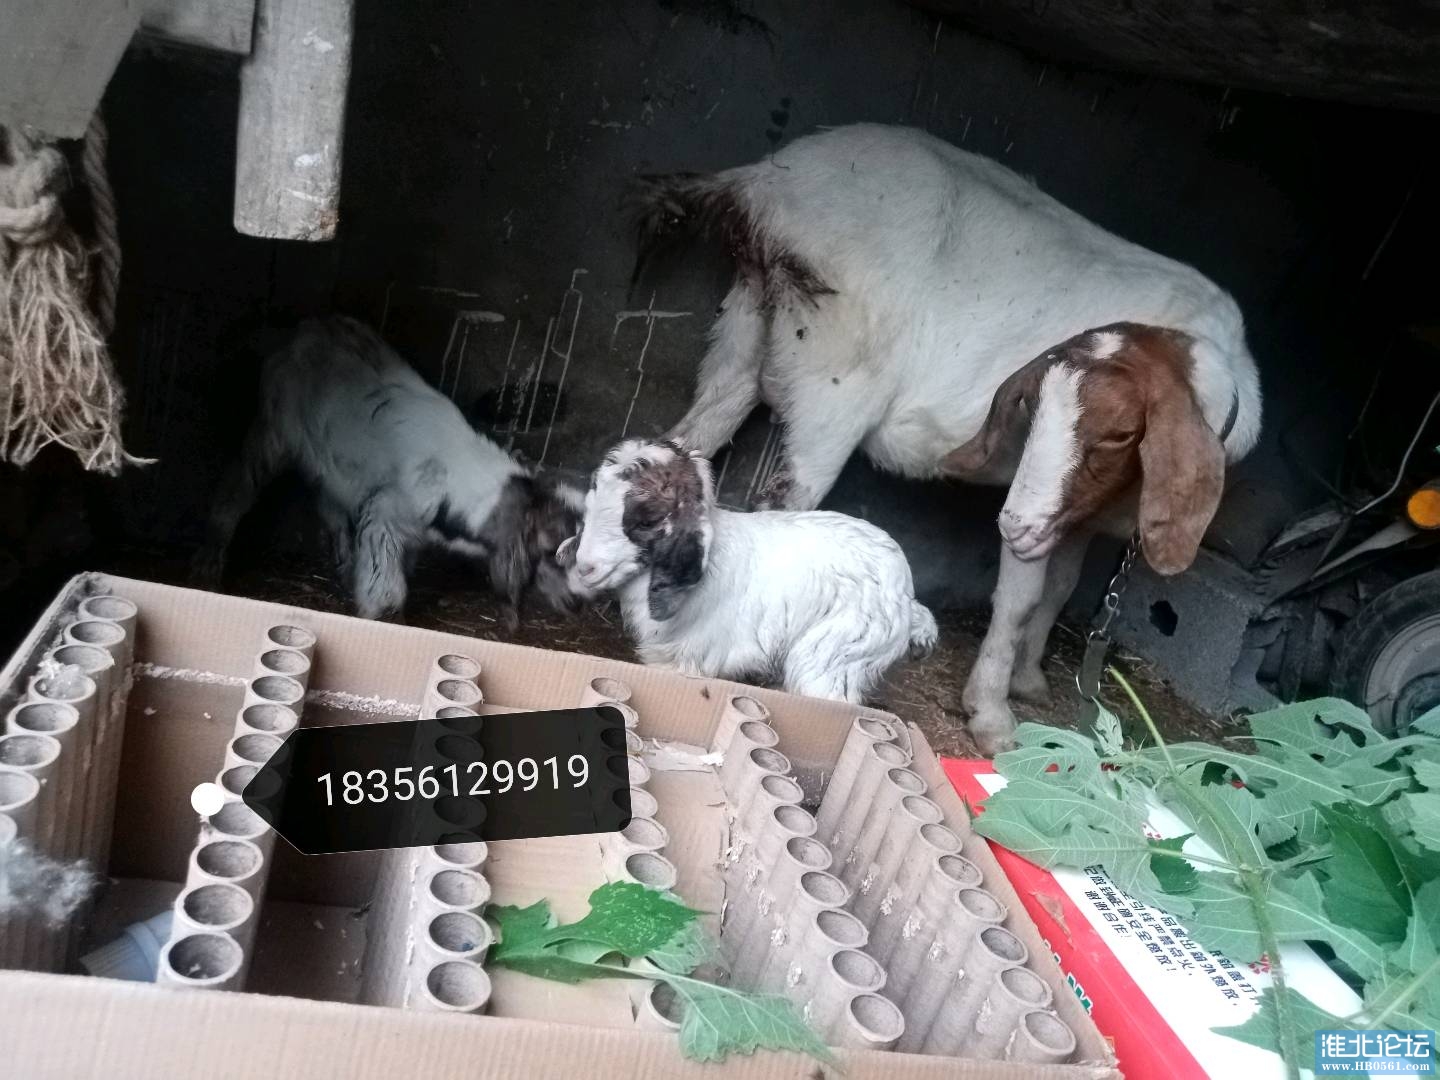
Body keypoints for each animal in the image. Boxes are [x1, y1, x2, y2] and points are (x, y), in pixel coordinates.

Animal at [195, 315, 585, 623]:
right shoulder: (385, 515)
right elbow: (386, 590)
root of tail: (297, 330)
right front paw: (384, 617)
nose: (577, 604)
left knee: (330, 506)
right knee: (238, 485)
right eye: (553, 550)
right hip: (273, 429)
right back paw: (209, 565)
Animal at [559, 438, 938, 703]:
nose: (585, 566)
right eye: (590, 505)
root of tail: (907, 597)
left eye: (647, 520)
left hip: (833, 658)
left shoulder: (685, 662)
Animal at [629, 123, 1262, 754]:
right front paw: (992, 714)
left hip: (743, 328)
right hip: (831, 382)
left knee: (692, 437)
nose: (1015, 524)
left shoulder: (1074, 507)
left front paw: (1029, 679)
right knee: (785, 502)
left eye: (1122, 433)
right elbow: (1020, 600)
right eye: (1032, 405)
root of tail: (764, 183)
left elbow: (1060, 587)